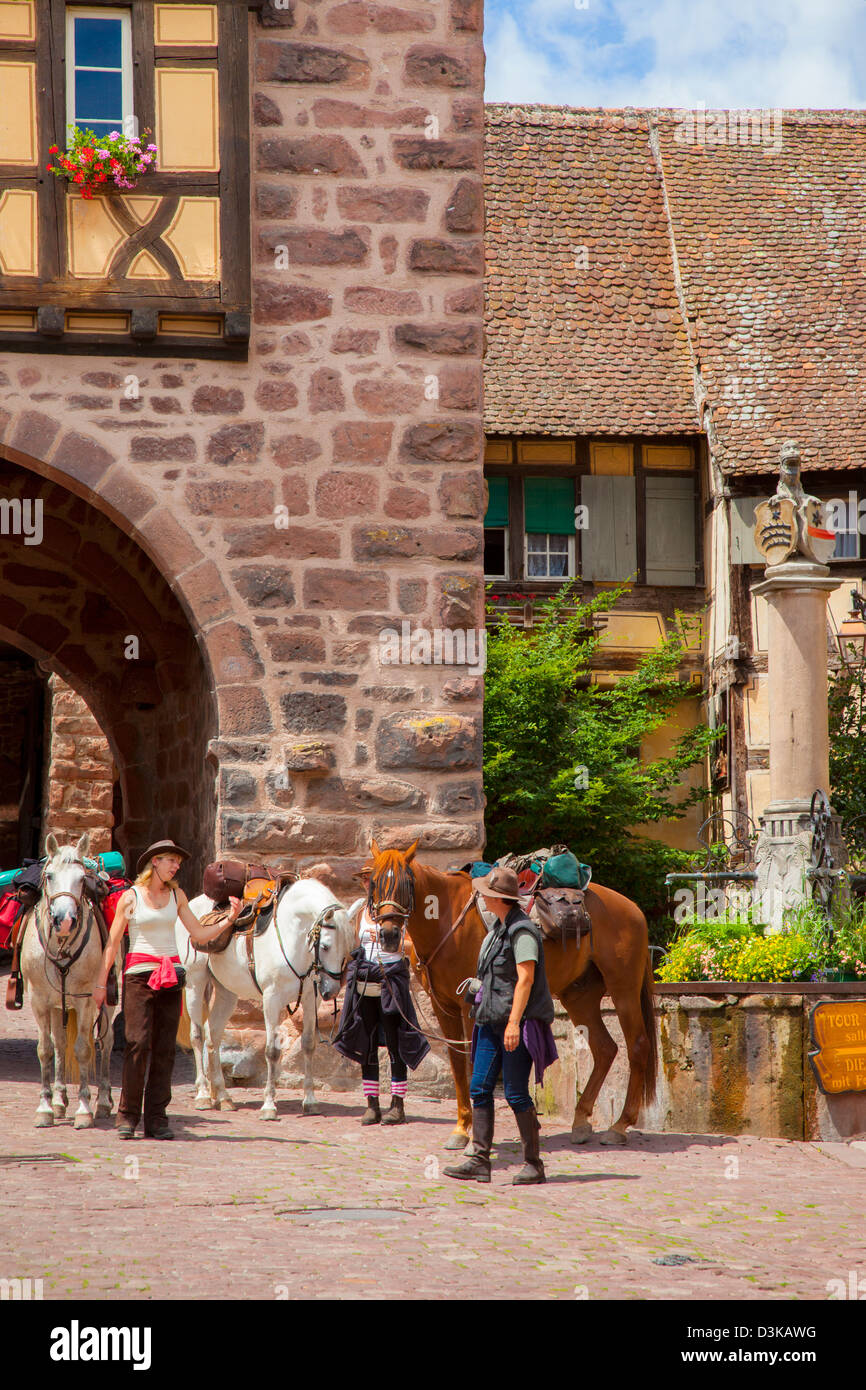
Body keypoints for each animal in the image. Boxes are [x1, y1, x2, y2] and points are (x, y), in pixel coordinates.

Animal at [19, 834, 118, 1128]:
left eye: (81, 879)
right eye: (49, 876)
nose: (64, 920)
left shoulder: (86, 1000)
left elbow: (84, 1049)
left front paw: (84, 1109)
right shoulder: (39, 1000)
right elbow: (46, 1050)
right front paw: (45, 1107)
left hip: (106, 1001)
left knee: (106, 1042)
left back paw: (104, 1101)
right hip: (57, 1005)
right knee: (60, 1044)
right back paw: (60, 1100)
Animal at [177, 878, 354, 1117]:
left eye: (348, 947)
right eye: (325, 947)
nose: (332, 990)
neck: (291, 935)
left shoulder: (310, 998)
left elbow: (309, 1044)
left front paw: (310, 1100)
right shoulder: (271, 999)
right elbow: (272, 1051)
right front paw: (269, 1105)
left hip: (226, 991)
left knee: (213, 1035)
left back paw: (223, 1097)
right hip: (195, 982)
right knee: (197, 1036)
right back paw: (204, 1094)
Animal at [366, 839, 656, 1145]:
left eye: (407, 883)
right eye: (373, 882)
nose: (388, 935)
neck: (447, 919)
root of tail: (634, 909)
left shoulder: (470, 1005)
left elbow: (472, 1062)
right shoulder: (443, 1006)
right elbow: (457, 1064)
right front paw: (461, 1128)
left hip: (624, 990)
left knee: (638, 1046)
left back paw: (620, 1125)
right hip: (579, 996)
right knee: (604, 1049)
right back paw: (580, 1120)